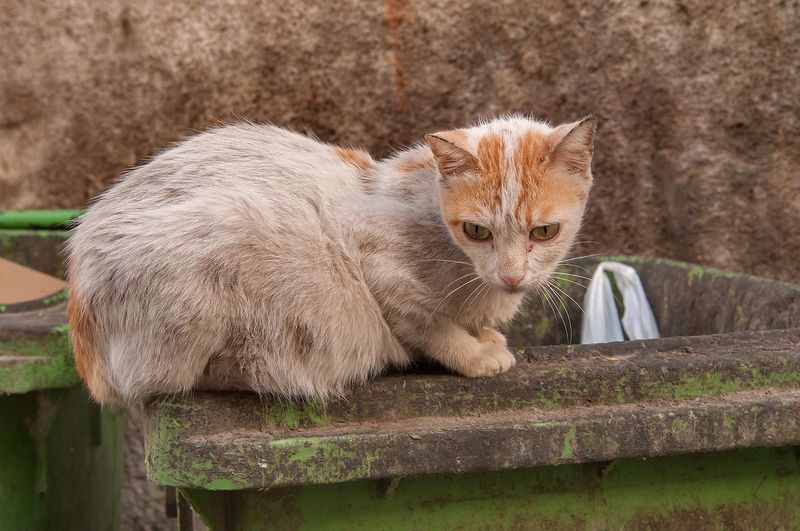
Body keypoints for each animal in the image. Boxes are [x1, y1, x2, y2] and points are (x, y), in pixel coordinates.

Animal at [67, 115, 592, 404]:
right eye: (478, 231)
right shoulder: (372, 260)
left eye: (544, 232)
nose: (512, 274)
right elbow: (430, 327)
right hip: (226, 234)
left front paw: (485, 335)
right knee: (174, 379)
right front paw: (477, 355)